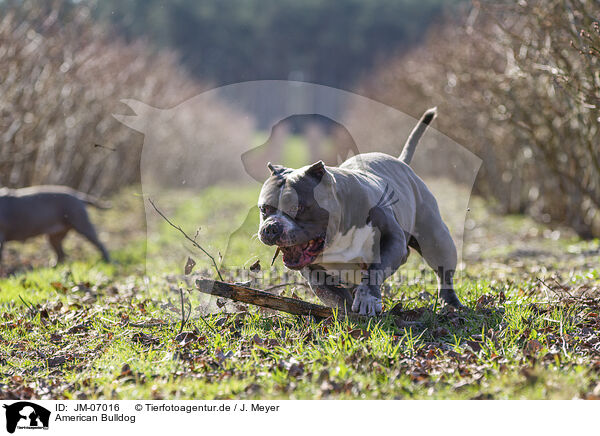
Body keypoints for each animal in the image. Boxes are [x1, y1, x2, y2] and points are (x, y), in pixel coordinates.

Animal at [256, 107, 460, 316]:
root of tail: (401, 162)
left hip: (436, 239)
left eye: (299, 208)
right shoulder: (313, 269)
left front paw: (367, 298)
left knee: (443, 271)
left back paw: (450, 303)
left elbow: (375, 271)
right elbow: (328, 291)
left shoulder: (392, 239)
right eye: (264, 209)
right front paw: (345, 310)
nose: (271, 227)